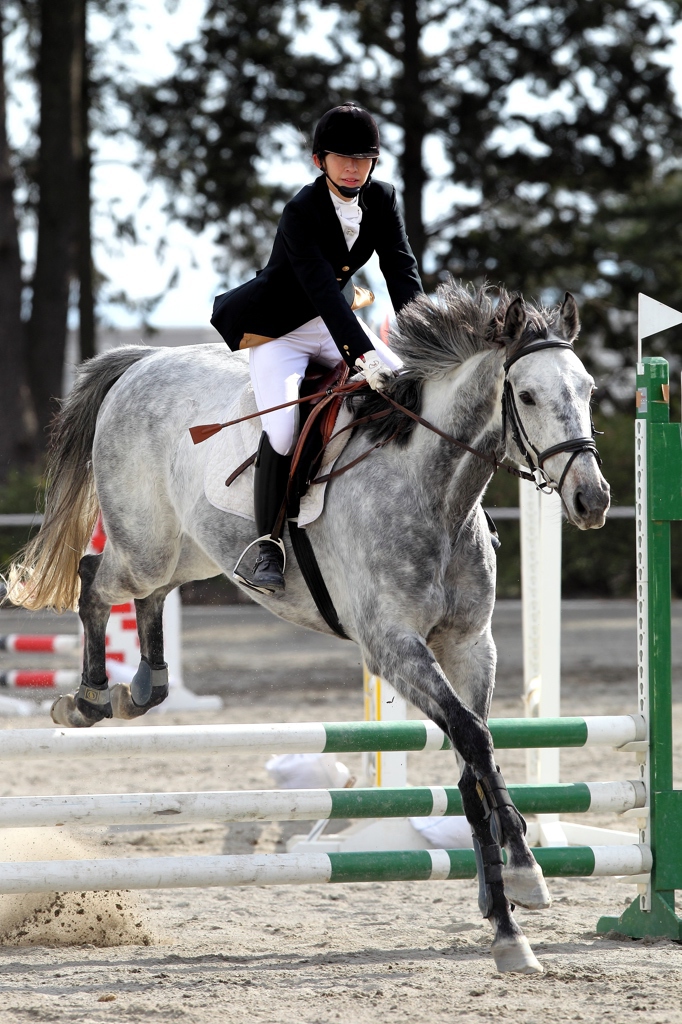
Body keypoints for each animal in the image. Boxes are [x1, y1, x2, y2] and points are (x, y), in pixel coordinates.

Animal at [9, 282, 606, 974]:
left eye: (588, 389)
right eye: (528, 395)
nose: (593, 500)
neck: (434, 491)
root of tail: (142, 362)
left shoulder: (469, 647)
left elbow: (472, 760)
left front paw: (504, 914)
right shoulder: (394, 649)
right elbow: (475, 742)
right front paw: (526, 876)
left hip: (190, 550)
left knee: (149, 595)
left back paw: (144, 689)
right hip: (146, 546)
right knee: (95, 581)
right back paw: (87, 700)